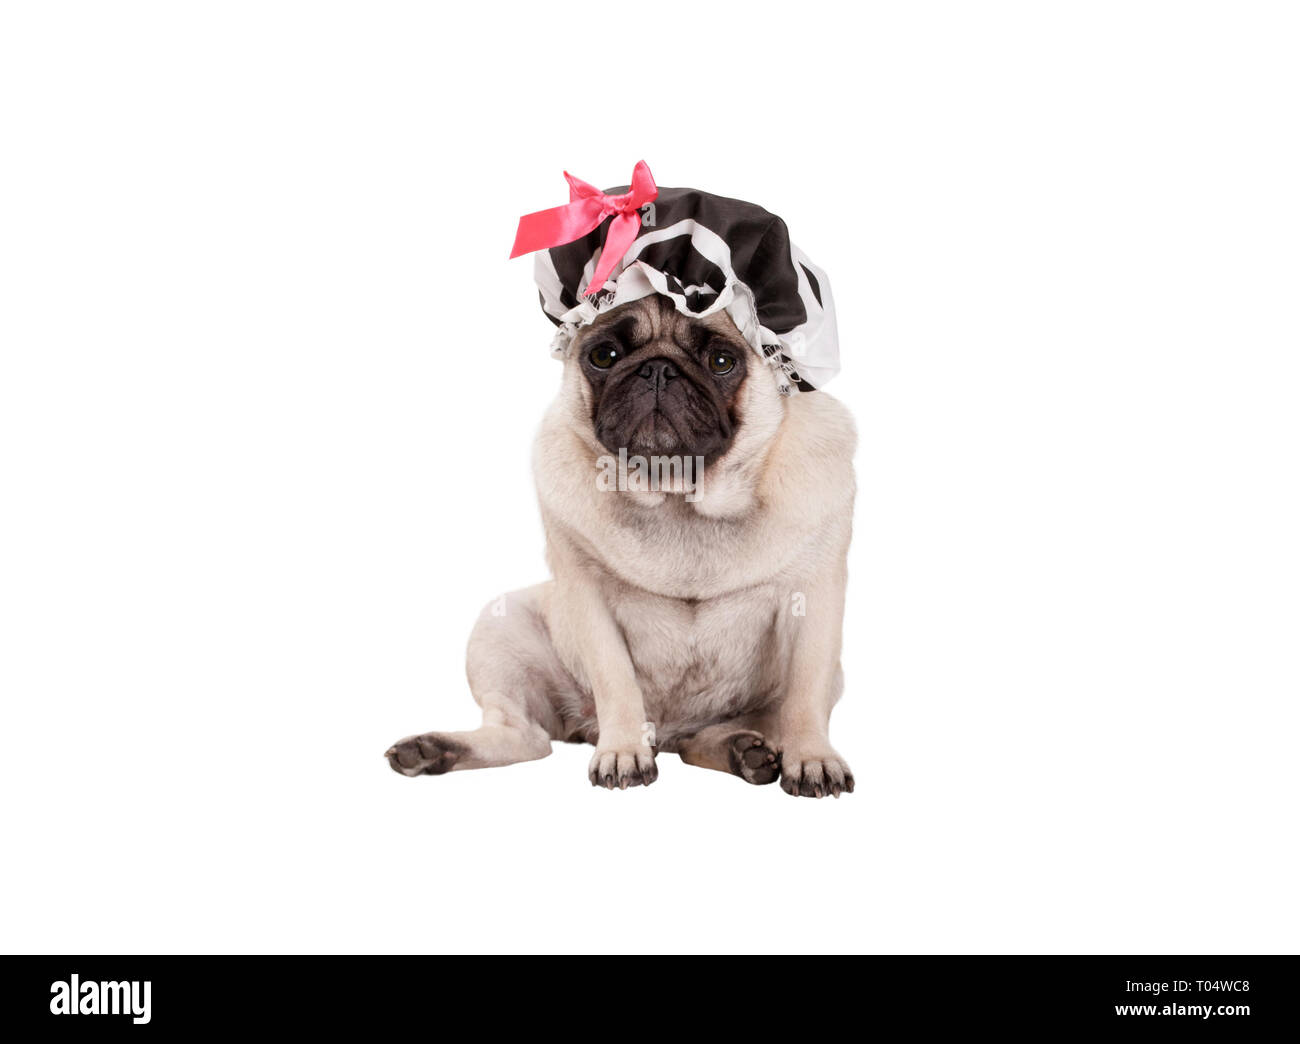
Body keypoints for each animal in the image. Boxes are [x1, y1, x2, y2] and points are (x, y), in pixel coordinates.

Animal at [384, 289, 852, 795]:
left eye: (722, 361)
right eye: (604, 356)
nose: (658, 369)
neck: (677, 498)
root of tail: (669, 732)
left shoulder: (815, 602)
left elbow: (804, 693)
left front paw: (812, 757)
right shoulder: (588, 599)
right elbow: (615, 679)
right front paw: (624, 752)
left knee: (710, 737)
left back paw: (744, 750)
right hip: (500, 628)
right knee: (525, 736)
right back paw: (433, 750)